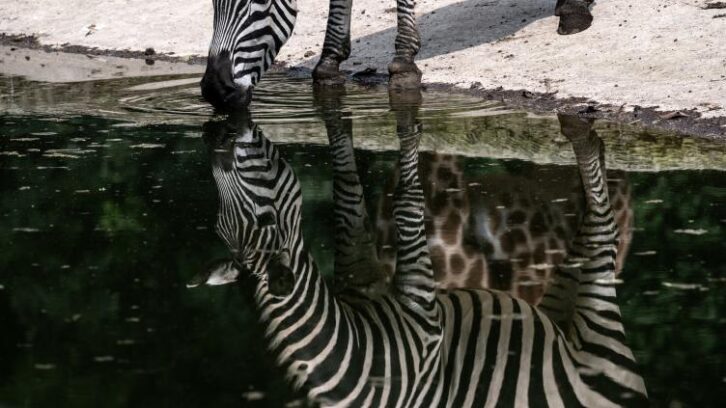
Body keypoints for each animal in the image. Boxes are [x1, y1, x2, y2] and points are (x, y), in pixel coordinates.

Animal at [191, 90, 648, 406]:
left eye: (265, 218)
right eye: (218, 224)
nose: (218, 139)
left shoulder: (425, 315)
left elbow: (407, 197)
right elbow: (352, 201)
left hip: (598, 341)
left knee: (601, 236)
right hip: (555, 316)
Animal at [200, 0, 595, 110]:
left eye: (256, 3)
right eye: (212, 3)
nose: (213, 91)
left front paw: (404, 60)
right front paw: (329, 62)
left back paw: (574, 9)